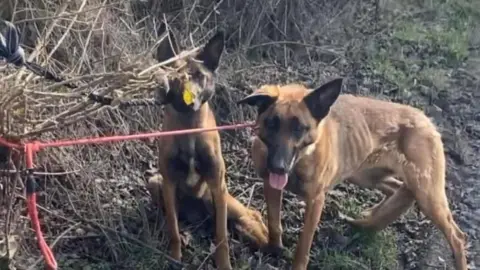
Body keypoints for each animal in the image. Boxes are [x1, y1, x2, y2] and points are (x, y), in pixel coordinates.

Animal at [146, 30, 268, 270]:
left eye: (198, 76)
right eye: (173, 76)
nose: (187, 100)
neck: (189, 130)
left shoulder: (217, 184)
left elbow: (221, 237)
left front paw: (224, 264)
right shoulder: (168, 183)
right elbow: (173, 227)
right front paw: (174, 257)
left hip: (219, 198)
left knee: (250, 214)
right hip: (156, 183)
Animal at [238, 78, 466, 270]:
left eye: (299, 129)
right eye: (272, 123)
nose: (278, 167)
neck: (302, 160)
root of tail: (426, 120)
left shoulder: (316, 201)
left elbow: (303, 245)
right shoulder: (270, 186)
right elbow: (274, 223)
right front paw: (274, 249)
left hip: (427, 195)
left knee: (457, 236)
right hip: (365, 176)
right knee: (395, 189)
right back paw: (368, 220)